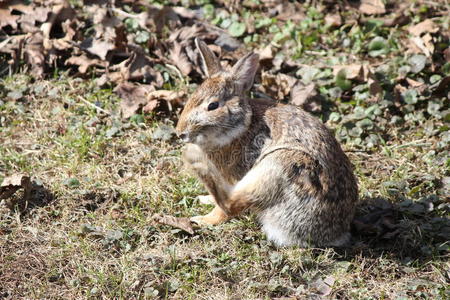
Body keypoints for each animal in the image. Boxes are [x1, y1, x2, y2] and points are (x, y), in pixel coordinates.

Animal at [176, 38, 358, 247]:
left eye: (212, 106)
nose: (180, 133)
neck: (242, 126)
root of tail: (335, 233)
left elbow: (224, 210)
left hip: (281, 166)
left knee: (231, 204)